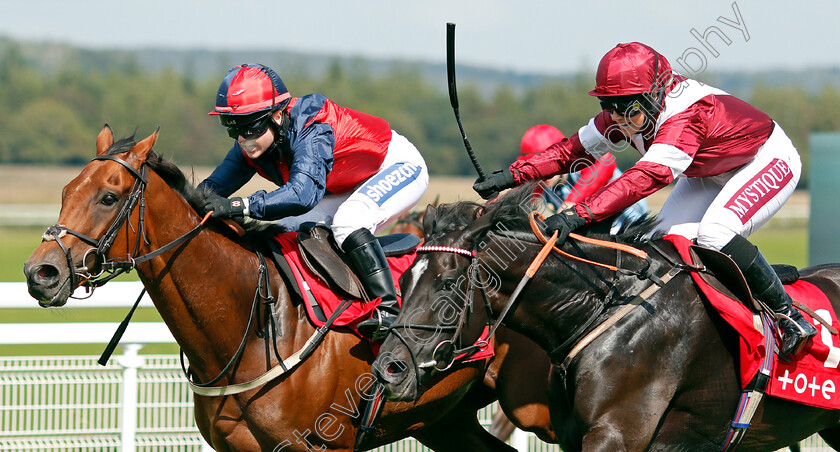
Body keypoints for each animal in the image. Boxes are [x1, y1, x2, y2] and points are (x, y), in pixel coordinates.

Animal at [23, 126, 528, 452]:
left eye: (108, 197)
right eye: (66, 191)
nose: (40, 272)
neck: (256, 327)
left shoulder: (324, 446)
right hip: (444, 420)